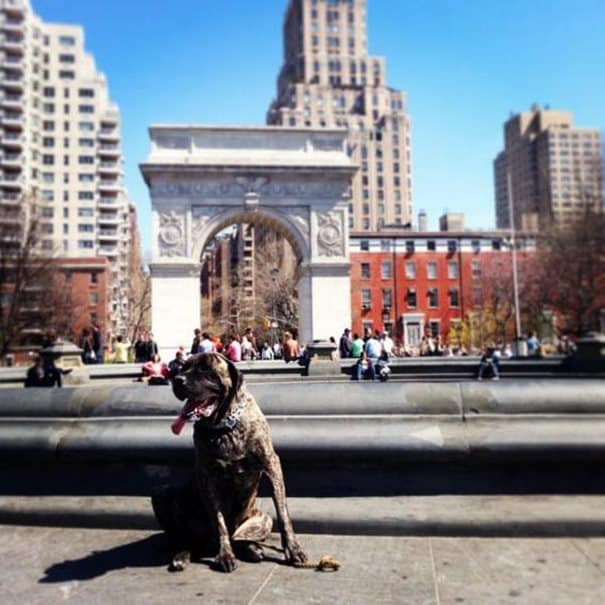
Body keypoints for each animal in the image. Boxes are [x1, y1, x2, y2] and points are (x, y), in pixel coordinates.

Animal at [153, 350, 306, 572]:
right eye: (183, 367)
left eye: (206, 369)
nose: (178, 380)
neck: (225, 424)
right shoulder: (207, 476)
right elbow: (219, 522)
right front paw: (225, 554)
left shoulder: (271, 464)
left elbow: (283, 513)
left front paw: (293, 550)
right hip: (161, 494)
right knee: (189, 539)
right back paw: (183, 555)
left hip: (262, 519)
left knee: (241, 537)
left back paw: (252, 549)